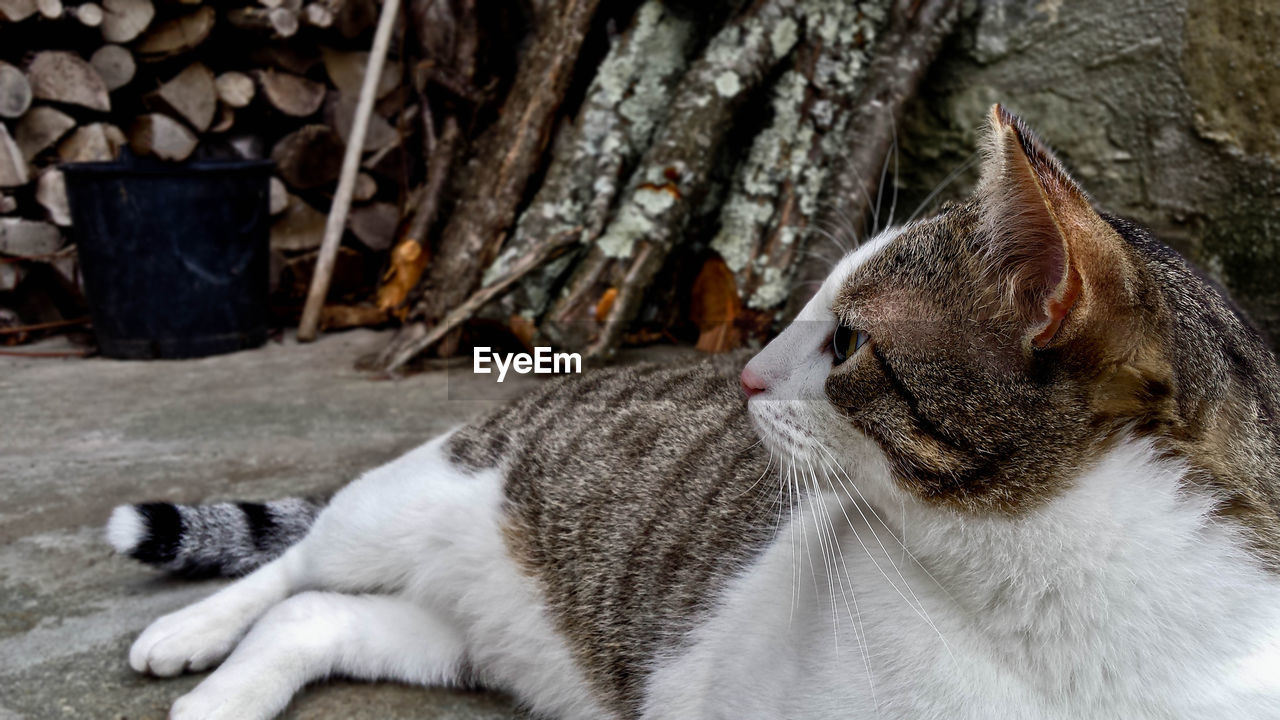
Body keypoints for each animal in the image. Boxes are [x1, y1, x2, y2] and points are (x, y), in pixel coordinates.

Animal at [107, 106, 1280, 717]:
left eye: (845, 343)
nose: (744, 377)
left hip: (470, 635)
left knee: (320, 615)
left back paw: (229, 695)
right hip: (410, 501)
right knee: (295, 567)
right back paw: (188, 641)